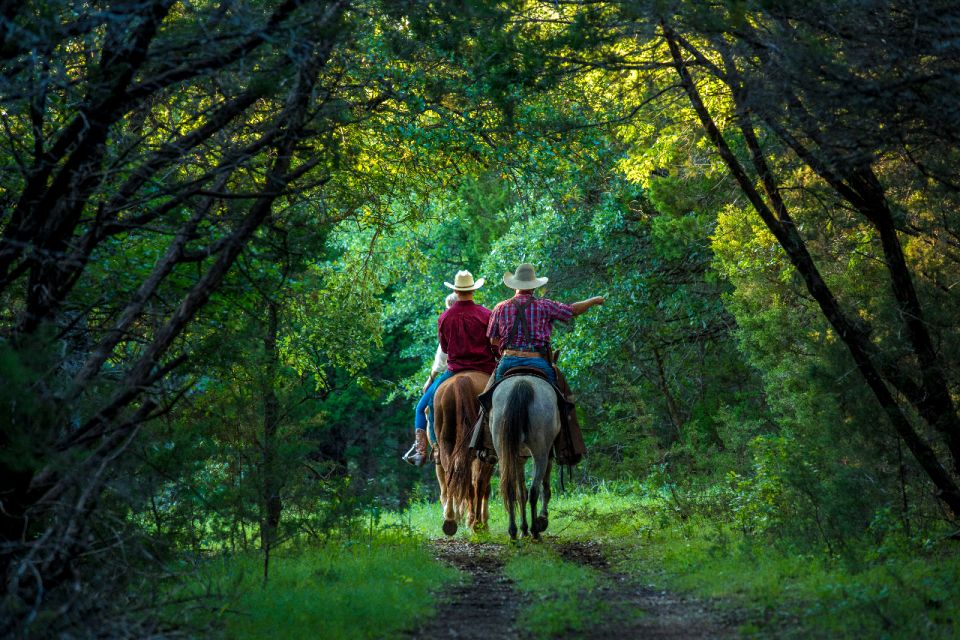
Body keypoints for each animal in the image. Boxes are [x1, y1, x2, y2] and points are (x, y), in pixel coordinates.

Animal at [436, 370, 496, 536]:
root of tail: (461, 380)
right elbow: (483, 486)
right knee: (476, 483)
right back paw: (476, 524)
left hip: (446, 442)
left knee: (453, 474)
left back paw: (451, 519)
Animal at [492, 376, 560, 540]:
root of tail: (522, 384)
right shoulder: (548, 455)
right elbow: (545, 488)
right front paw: (542, 519)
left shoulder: (518, 459)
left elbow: (521, 492)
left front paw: (523, 529)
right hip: (540, 454)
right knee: (534, 490)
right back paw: (535, 530)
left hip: (505, 454)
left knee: (510, 489)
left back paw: (513, 532)